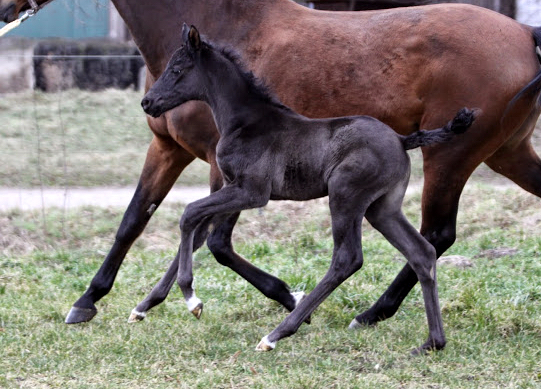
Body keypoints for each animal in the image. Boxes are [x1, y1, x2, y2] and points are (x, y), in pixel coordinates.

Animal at [140, 24, 476, 352]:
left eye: (177, 69)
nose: (147, 102)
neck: (245, 122)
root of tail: (401, 139)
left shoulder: (251, 192)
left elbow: (189, 214)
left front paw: (191, 298)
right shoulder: (233, 188)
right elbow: (201, 232)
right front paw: (146, 306)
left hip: (345, 196)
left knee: (347, 259)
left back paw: (277, 334)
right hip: (383, 208)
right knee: (422, 252)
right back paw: (432, 342)